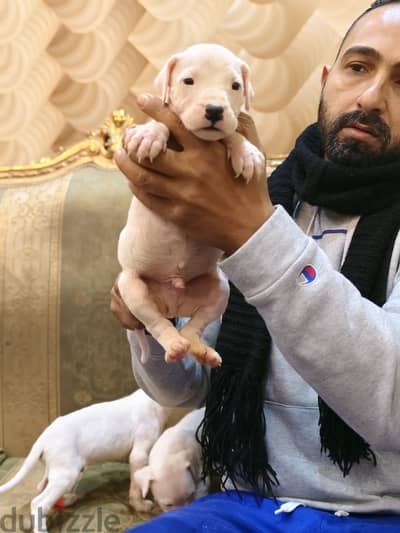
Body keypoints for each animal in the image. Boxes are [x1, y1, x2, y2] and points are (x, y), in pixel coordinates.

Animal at [117, 42, 264, 366]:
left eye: (235, 86)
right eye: (188, 81)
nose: (215, 110)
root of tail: (174, 301)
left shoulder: (226, 130)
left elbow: (232, 134)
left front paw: (246, 152)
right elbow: (162, 122)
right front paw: (149, 135)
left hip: (219, 289)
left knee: (194, 326)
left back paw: (199, 348)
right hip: (132, 287)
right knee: (156, 323)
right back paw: (173, 345)